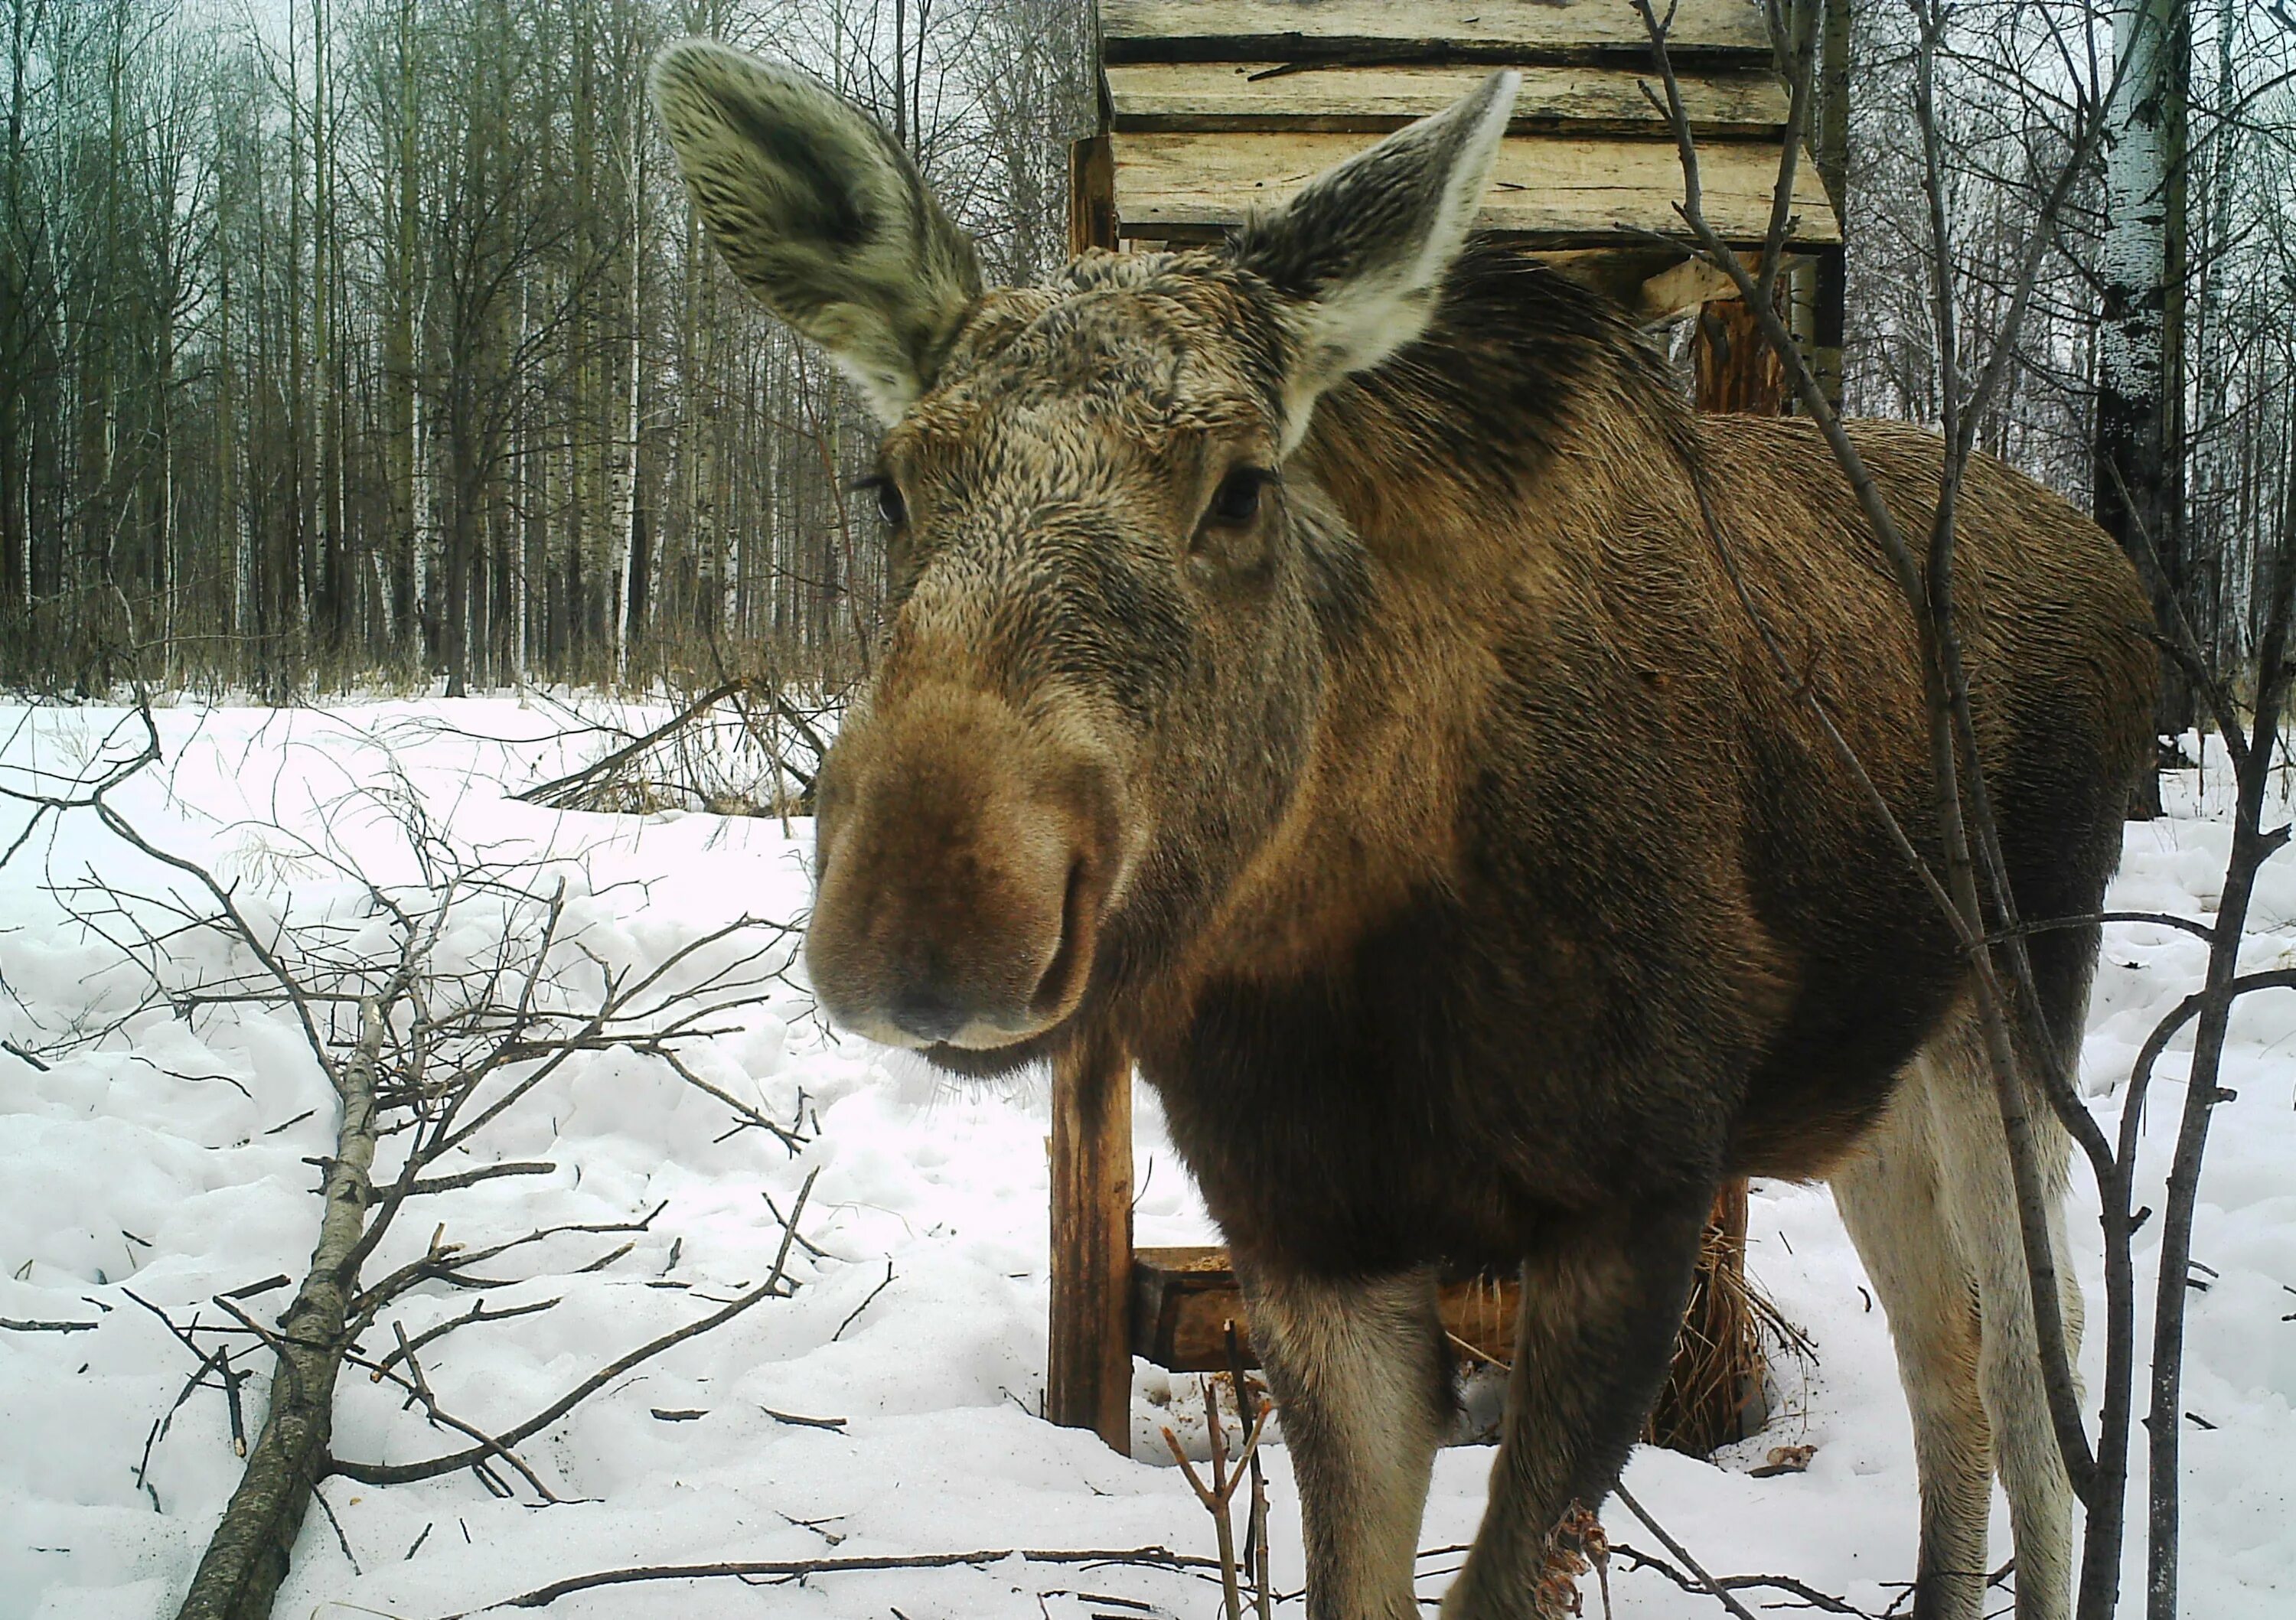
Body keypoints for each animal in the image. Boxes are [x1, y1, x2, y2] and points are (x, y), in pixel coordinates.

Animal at [657, 47, 2158, 1615]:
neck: (1346, 962)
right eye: (888, 484)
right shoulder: (1305, 1228)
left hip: (2017, 1002)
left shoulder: (1640, 1193)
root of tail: (2120, 581)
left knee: (2039, 1355)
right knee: (1945, 1352)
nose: (927, 919)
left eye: (1242, 485)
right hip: (1869, 1072)